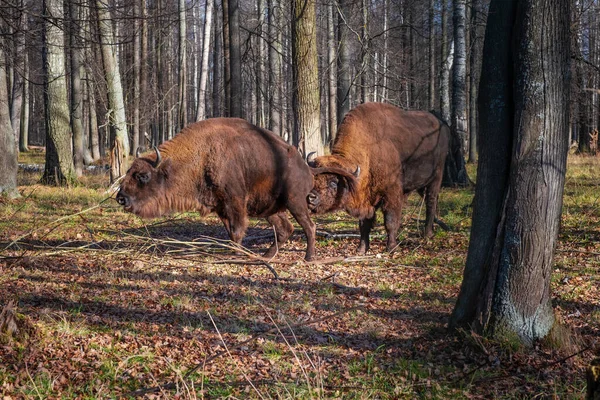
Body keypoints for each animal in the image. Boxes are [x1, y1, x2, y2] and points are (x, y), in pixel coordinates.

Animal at [116, 117, 352, 260]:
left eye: (143, 176)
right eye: (129, 172)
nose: (121, 198)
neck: (201, 154)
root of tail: (306, 166)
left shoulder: (234, 201)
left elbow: (237, 230)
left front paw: (235, 254)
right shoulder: (221, 206)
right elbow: (231, 231)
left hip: (295, 203)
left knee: (308, 226)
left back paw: (308, 257)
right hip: (269, 209)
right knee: (285, 229)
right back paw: (266, 257)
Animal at [310, 102, 450, 253]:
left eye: (334, 182)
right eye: (315, 179)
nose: (310, 197)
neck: (368, 151)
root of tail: (441, 124)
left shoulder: (391, 193)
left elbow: (390, 221)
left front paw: (391, 248)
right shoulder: (367, 198)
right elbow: (364, 224)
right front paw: (361, 249)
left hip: (436, 178)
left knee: (431, 201)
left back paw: (428, 234)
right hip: (420, 184)